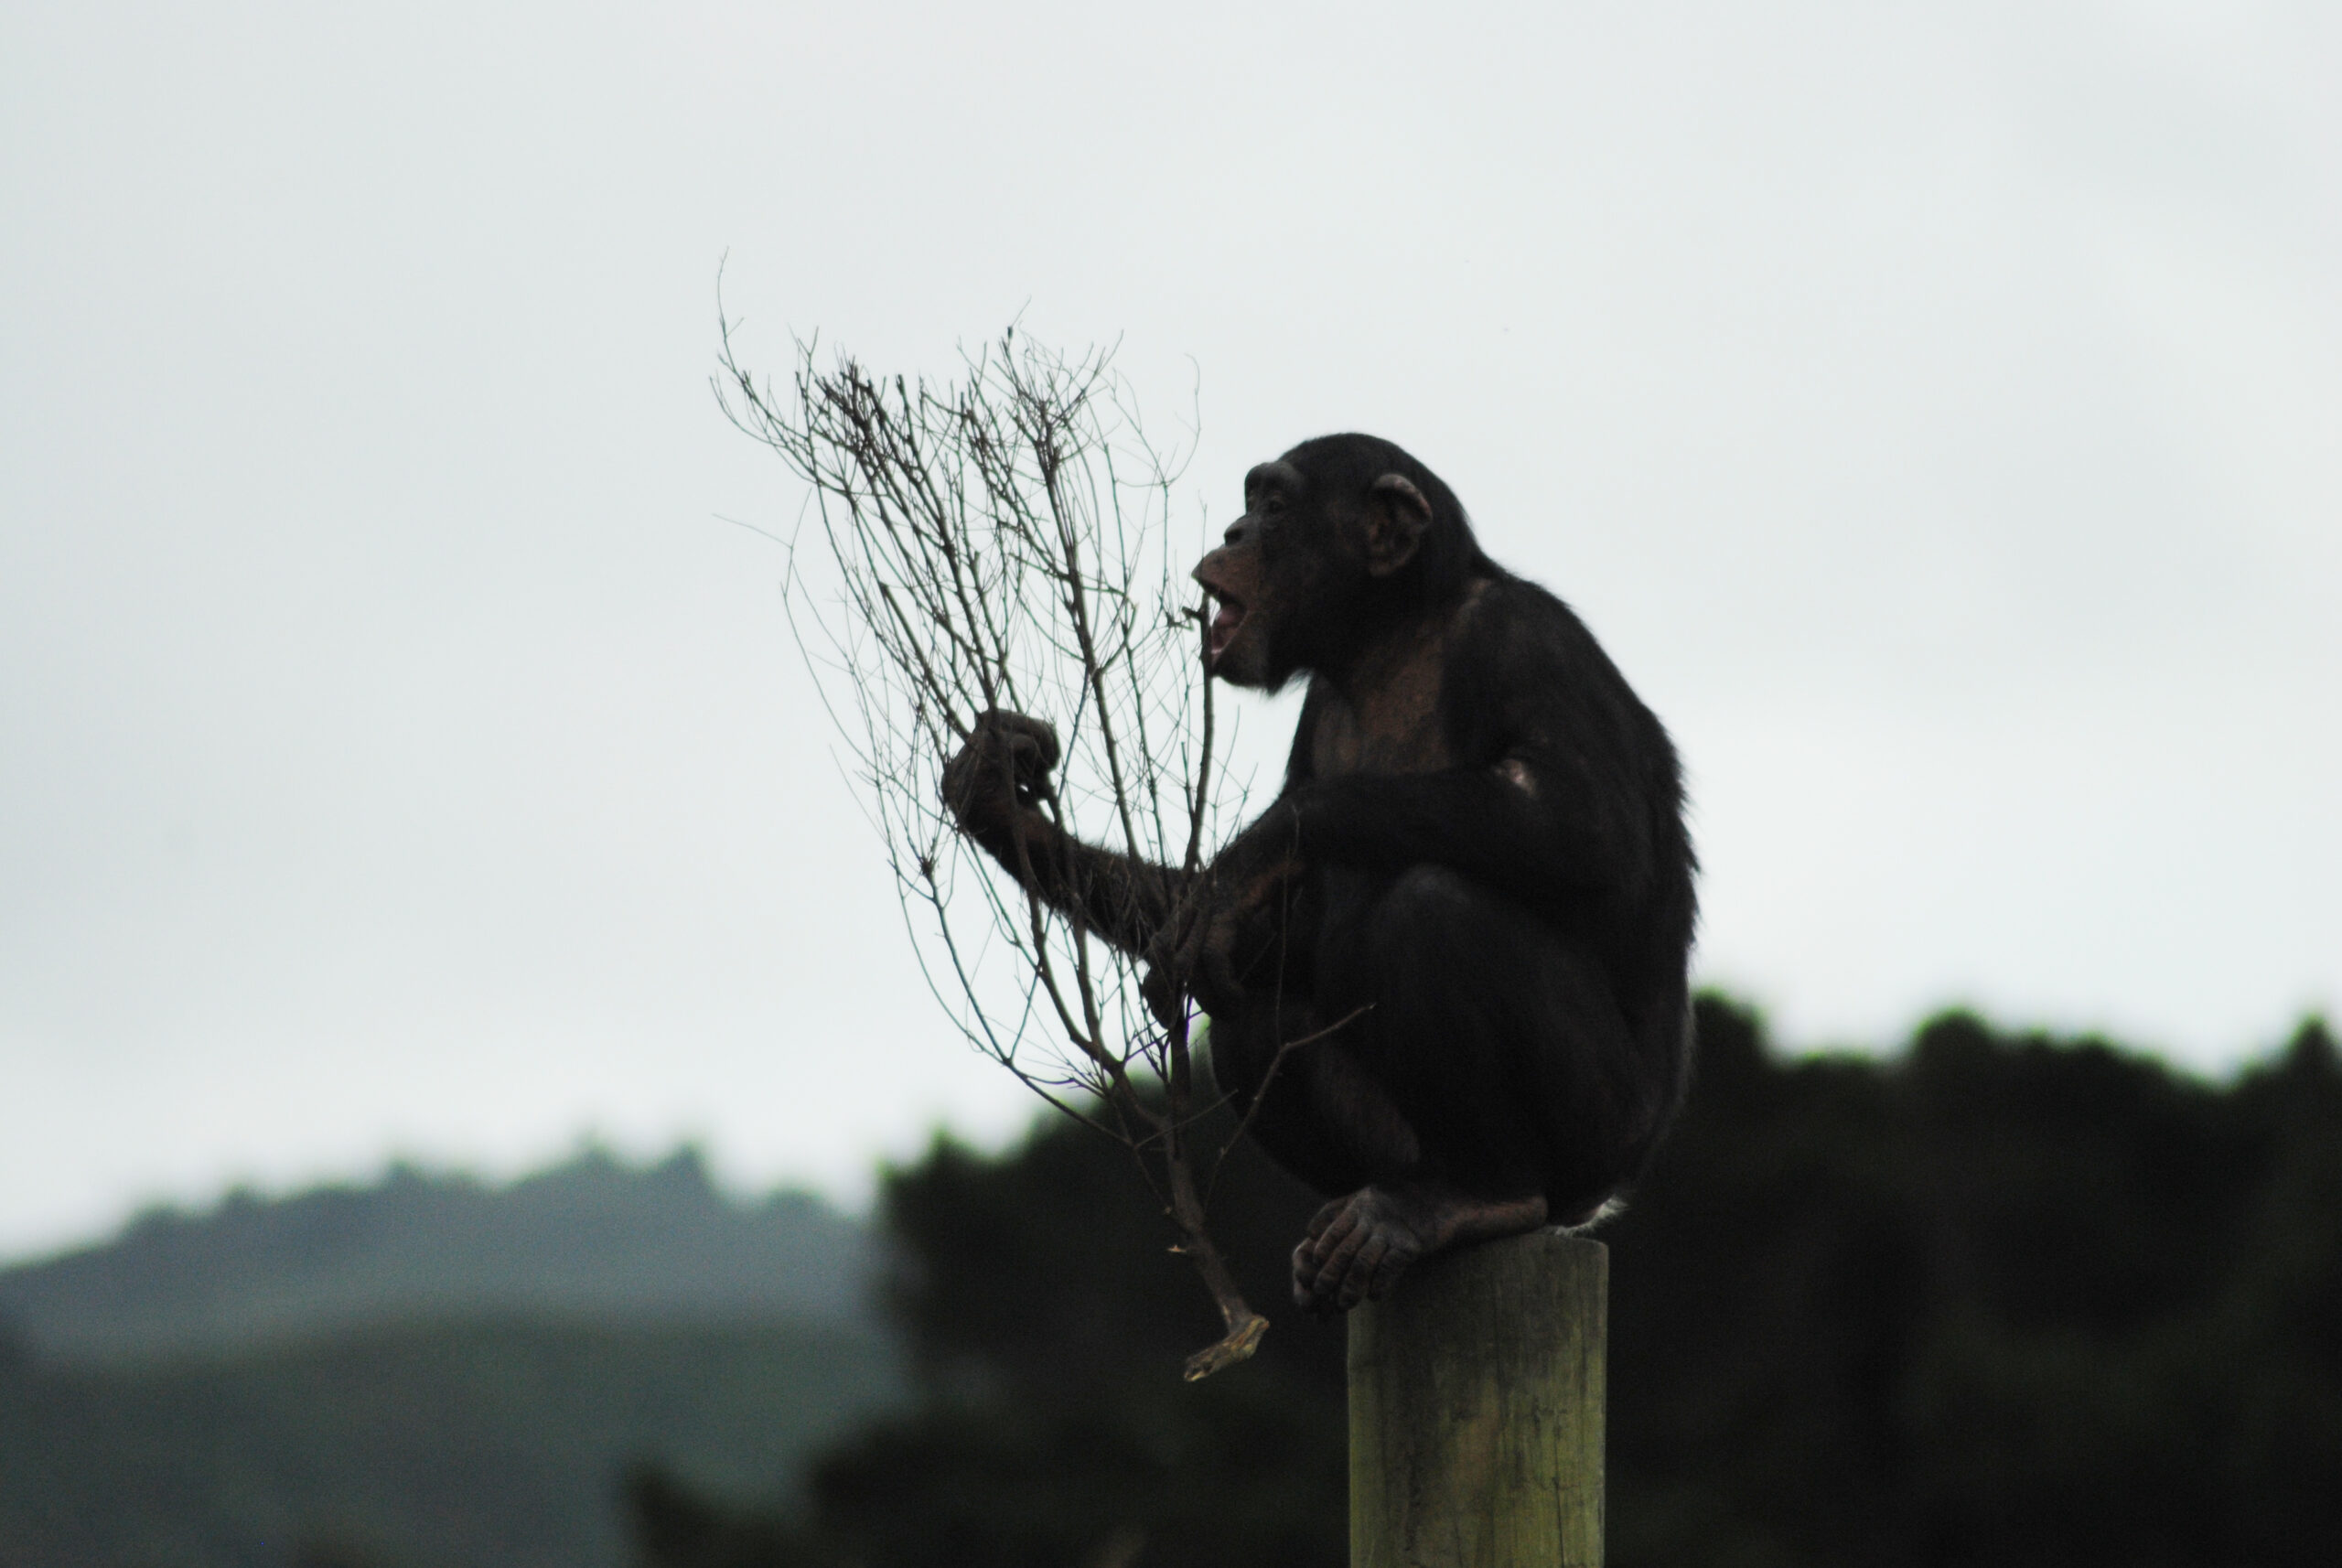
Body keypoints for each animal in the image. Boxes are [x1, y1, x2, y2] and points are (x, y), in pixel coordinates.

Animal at [941, 435, 1695, 1319]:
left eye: (1273, 507)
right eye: (1249, 503)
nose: (1233, 531)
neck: (1390, 640)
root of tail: (1600, 1202)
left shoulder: (1526, 644)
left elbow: (1584, 825)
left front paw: (1250, 858)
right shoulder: (1319, 714)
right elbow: (1263, 933)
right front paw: (997, 793)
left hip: (1598, 1134)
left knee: (1436, 909)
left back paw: (1481, 1196)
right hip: (1393, 1146)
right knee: (1245, 1010)